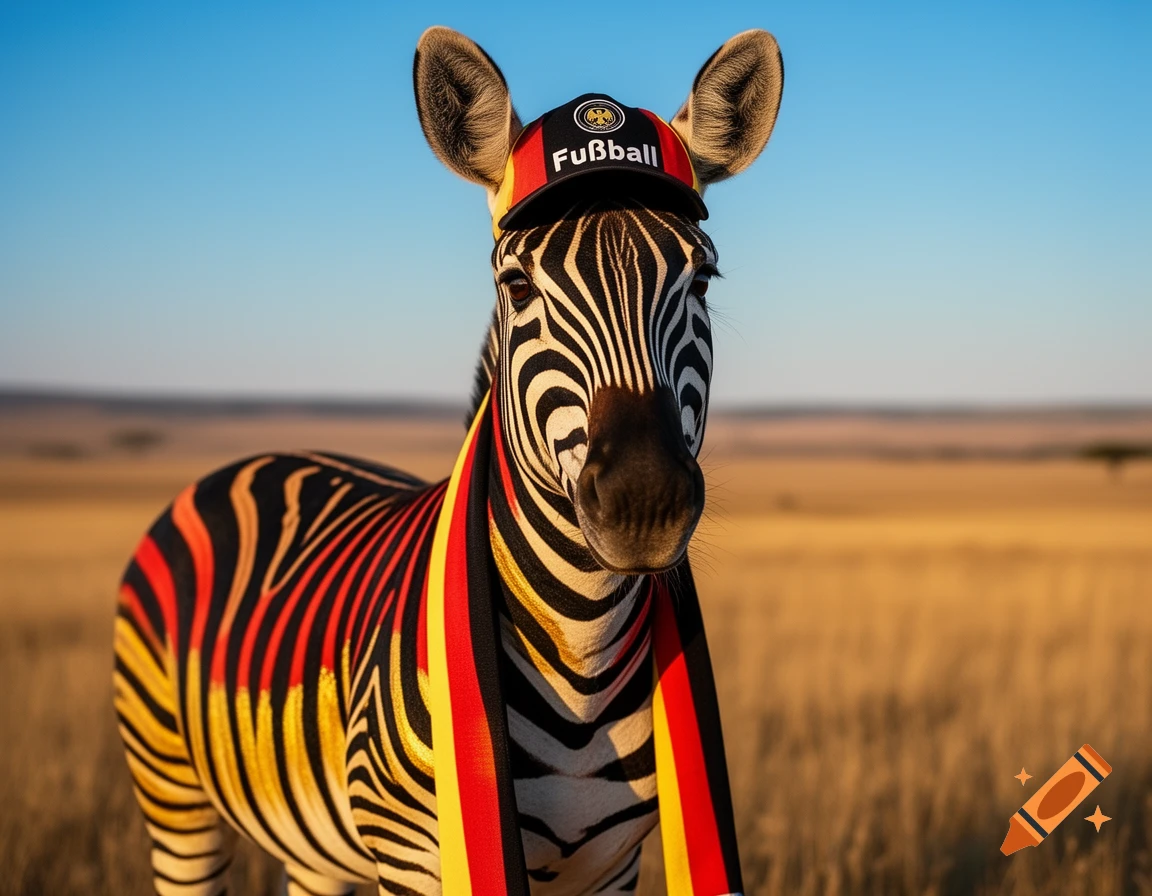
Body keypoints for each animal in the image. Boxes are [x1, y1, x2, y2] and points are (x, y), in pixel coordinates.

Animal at [112, 25, 783, 896]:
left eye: (701, 277)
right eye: (516, 284)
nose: (644, 501)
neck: (582, 651)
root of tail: (257, 456)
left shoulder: (612, 864)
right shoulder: (419, 855)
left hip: (307, 845)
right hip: (172, 791)